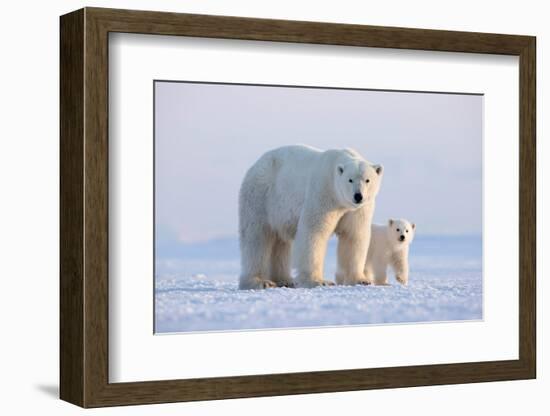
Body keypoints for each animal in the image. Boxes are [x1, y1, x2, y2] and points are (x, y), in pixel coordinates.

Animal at [239, 145, 386, 290]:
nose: (358, 196)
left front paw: (361, 280)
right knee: (256, 238)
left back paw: (285, 280)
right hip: (261, 197)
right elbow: (314, 232)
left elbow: (354, 235)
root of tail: (255, 165)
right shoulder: (323, 193)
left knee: (280, 242)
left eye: (367, 180)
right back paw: (260, 281)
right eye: (350, 180)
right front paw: (318, 281)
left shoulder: (357, 210)